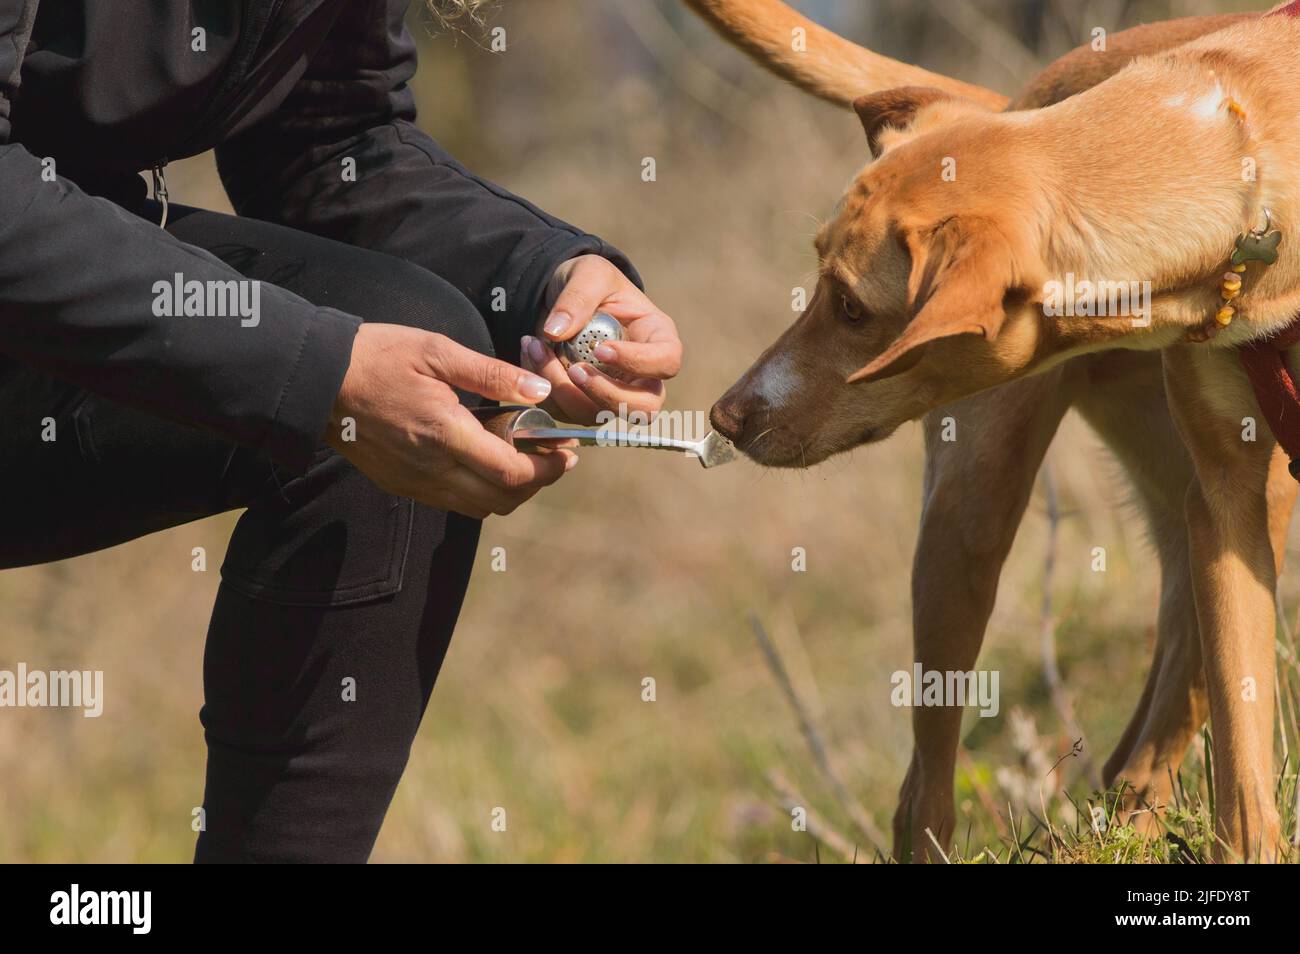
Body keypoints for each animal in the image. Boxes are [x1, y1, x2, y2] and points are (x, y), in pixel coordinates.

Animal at [691, 0, 1300, 863]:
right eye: (818, 279)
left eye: (850, 307)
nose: (726, 417)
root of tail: (1024, 94)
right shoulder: (1227, 495)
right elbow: (1243, 777)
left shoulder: (1237, 508)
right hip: (972, 526)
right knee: (928, 795)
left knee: (1143, 746)